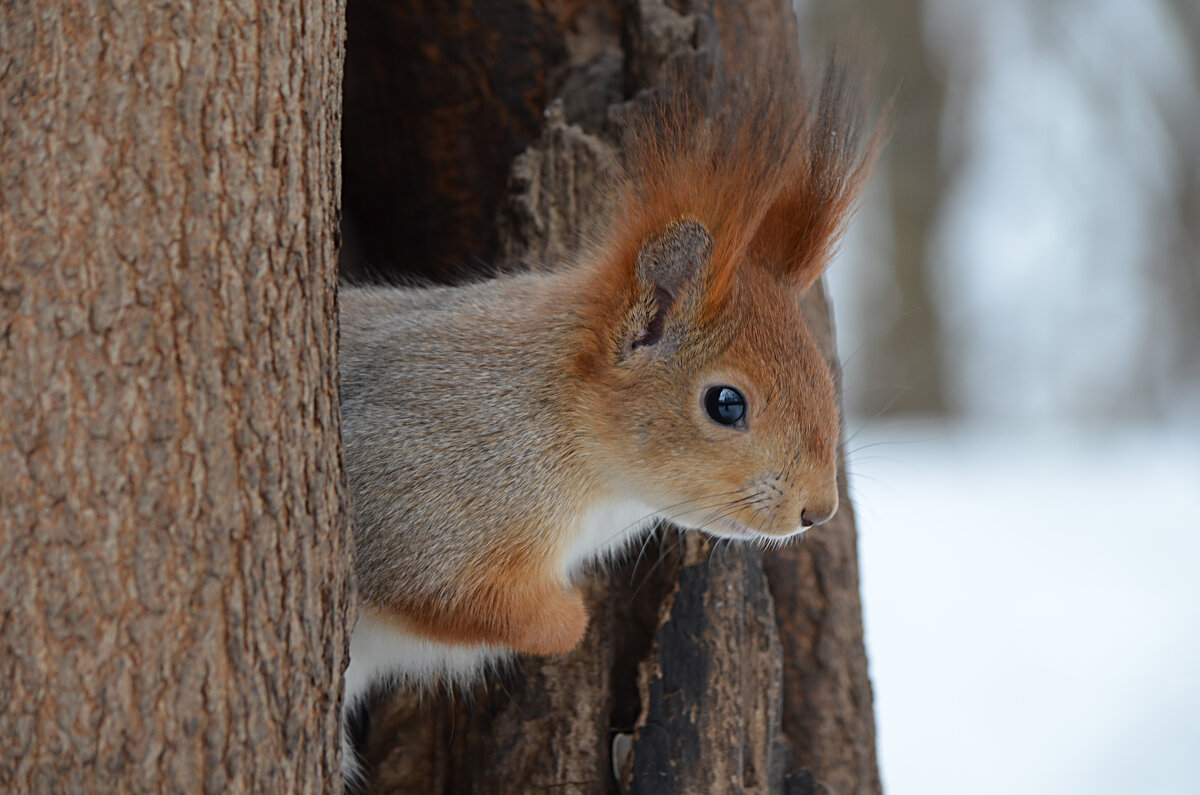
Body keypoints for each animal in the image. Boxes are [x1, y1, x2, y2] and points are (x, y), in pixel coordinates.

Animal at [338, 42, 883, 773]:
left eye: (827, 377)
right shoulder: (422, 485)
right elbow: (441, 587)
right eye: (726, 403)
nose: (817, 511)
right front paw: (571, 618)